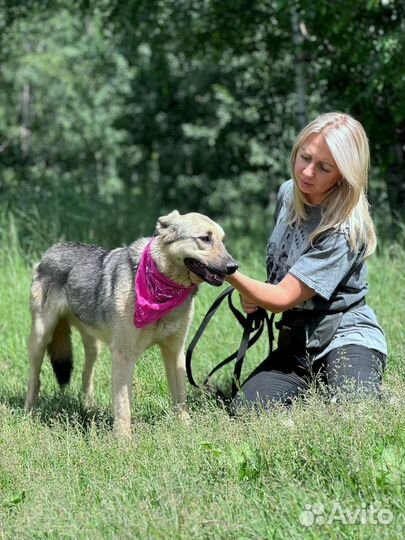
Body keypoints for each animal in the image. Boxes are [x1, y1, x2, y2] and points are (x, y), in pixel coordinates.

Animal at [24, 209, 237, 436]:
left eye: (223, 241)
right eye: (205, 239)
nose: (234, 267)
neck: (163, 287)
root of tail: (50, 251)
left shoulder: (175, 351)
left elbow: (180, 397)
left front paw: (186, 429)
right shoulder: (123, 356)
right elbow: (123, 405)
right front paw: (123, 439)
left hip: (94, 345)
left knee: (85, 375)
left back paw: (89, 406)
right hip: (40, 338)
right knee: (35, 379)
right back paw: (29, 413)